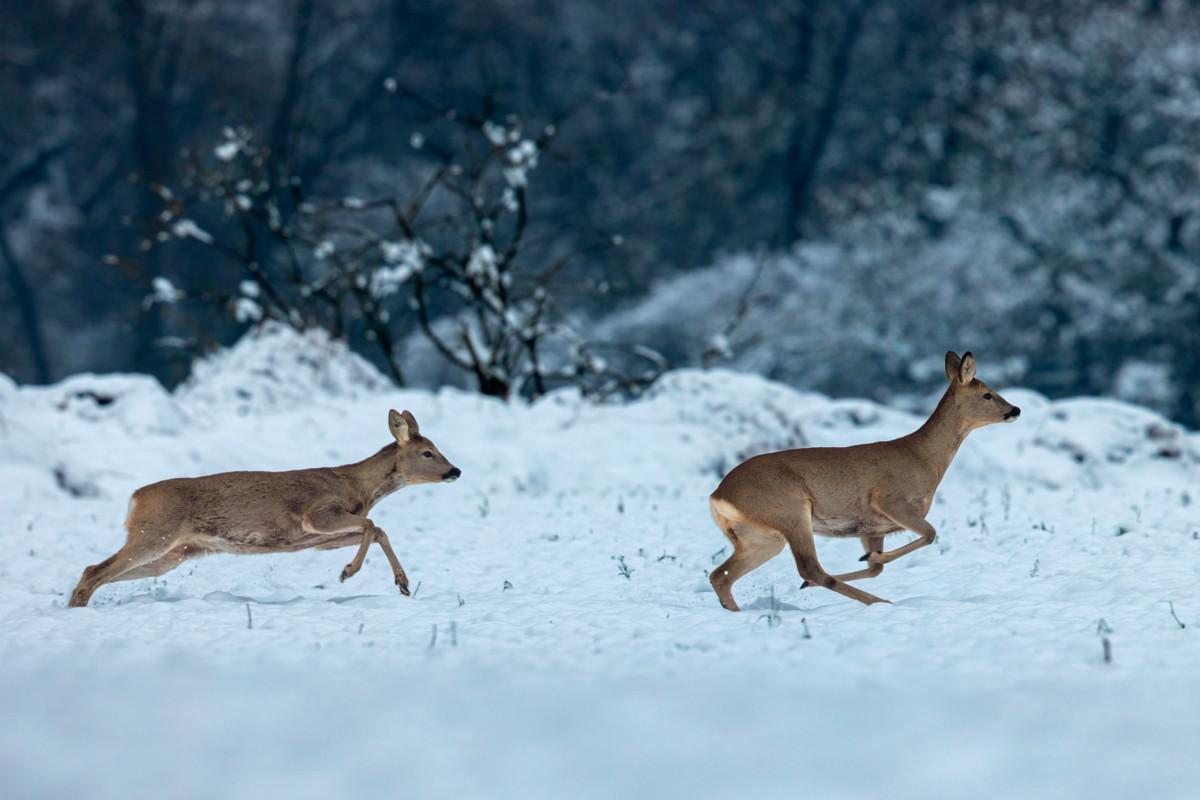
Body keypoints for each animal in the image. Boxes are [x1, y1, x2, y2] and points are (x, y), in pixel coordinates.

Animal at [70, 410, 460, 609]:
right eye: (427, 452)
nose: (455, 471)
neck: (359, 487)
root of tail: (135, 497)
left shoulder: (319, 539)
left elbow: (375, 529)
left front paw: (403, 584)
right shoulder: (317, 513)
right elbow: (373, 524)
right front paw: (348, 572)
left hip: (175, 552)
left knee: (98, 572)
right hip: (155, 531)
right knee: (94, 570)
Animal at [710, 352, 1022, 609]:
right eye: (987, 394)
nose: (1015, 409)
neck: (923, 458)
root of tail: (718, 495)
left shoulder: (872, 528)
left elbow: (877, 569)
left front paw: (871, 558)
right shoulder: (890, 499)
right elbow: (930, 534)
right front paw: (871, 558)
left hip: (759, 536)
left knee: (720, 575)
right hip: (790, 510)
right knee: (810, 568)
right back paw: (877, 602)